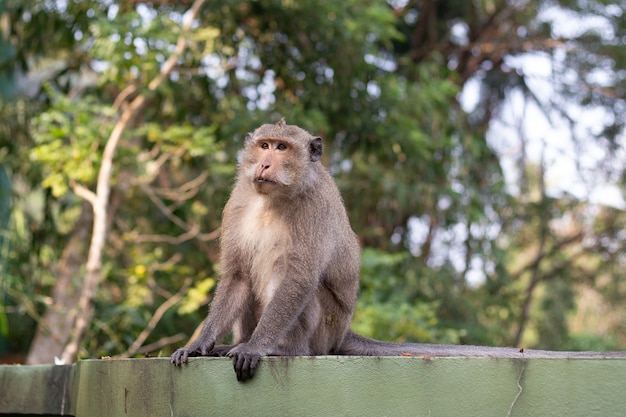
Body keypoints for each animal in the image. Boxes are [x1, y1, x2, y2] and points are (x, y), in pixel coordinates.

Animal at [168, 117, 620, 380]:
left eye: (282, 148)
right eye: (263, 145)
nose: (263, 164)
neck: (273, 198)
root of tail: (343, 333)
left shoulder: (313, 209)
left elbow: (298, 278)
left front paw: (256, 347)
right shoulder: (238, 203)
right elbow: (236, 277)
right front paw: (200, 343)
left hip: (325, 328)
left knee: (307, 294)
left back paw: (280, 348)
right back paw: (227, 344)